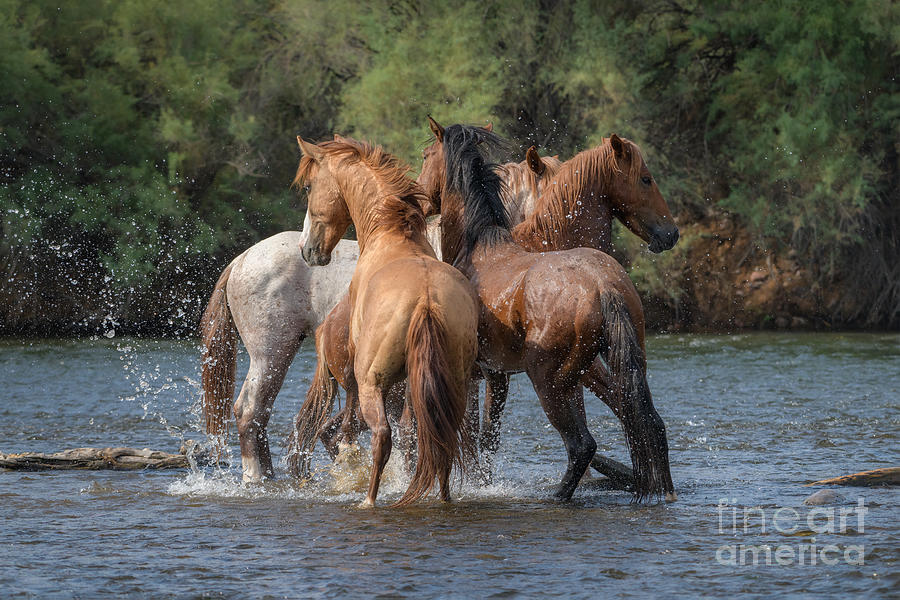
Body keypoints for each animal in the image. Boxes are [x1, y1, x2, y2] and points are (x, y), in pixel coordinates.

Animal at [298, 136, 482, 506]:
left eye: (309, 187)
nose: (308, 250)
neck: (391, 235)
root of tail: (426, 300)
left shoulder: (355, 374)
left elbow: (349, 425)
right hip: (451, 382)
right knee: (441, 435)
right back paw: (443, 497)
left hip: (373, 383)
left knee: (381, 436)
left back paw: (368, 499)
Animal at [422, 123, 676, 502]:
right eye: (646, 178)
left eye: (426, 156)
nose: (671, 233)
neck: (479, 246)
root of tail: (604, 286)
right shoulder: (496, 374)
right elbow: (484, 439)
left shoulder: (483, 373)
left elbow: (476, 440)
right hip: (612, 367)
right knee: (647, 421)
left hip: (550, 381)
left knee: (583, 443)